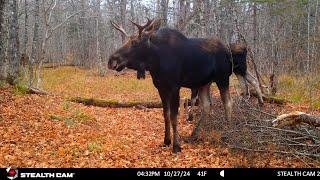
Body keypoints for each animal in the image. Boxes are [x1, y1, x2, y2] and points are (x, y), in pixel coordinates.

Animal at [107, 18, 232, 153]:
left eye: (135, 42)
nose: (111, 61)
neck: (155, 62)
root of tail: (227, 51)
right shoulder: (161, 88)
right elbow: (166, 115)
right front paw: (166, 141)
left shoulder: (174, 87)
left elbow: (173, 116)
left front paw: (176, 146)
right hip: (204, 83)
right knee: (207, 106)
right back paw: (194, 134)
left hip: (223, 78)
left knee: (228, 103)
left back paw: (227, 133)